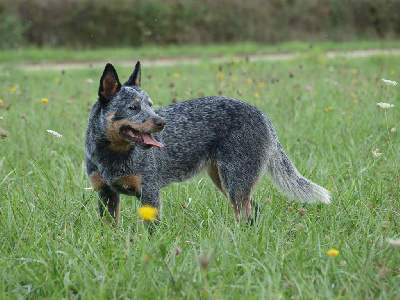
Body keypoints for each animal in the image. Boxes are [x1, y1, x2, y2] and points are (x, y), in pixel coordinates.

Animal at [85, 61, 332, 225]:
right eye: (133, 107)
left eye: (150, 105)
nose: (162, 122)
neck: (111, 158)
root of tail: (261, 114)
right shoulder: (105, 194)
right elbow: (109, 230)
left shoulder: (150, 194)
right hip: (226, 181)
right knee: (254, 210)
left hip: (235, 182)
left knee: (245, 215)